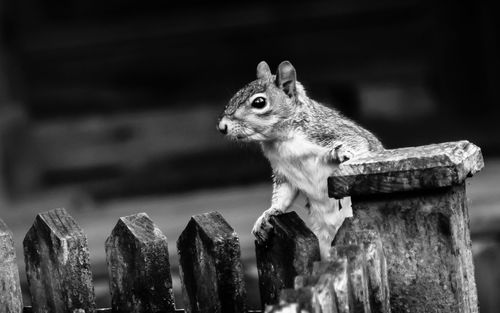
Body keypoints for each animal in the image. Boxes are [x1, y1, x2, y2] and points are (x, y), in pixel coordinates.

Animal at [215, 61, 382, 258]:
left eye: (259, 102)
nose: (222, 127)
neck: (282, 140)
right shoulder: (283, 173)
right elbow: (282, 196)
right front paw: (267, 215)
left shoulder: (331, 132)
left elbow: (359, 148)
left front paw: (341, 153)